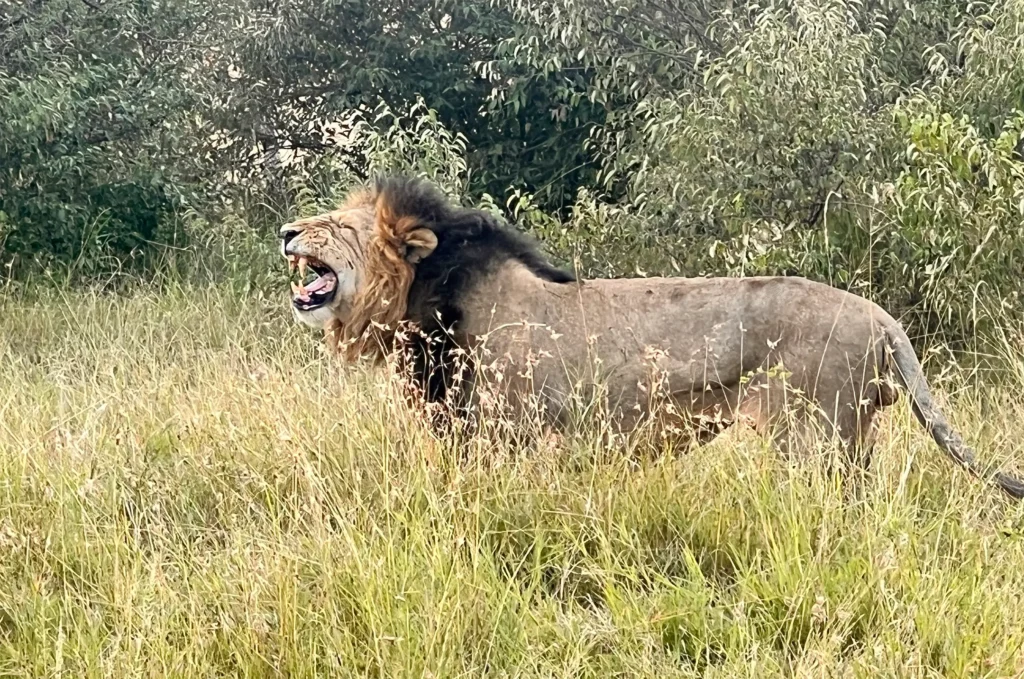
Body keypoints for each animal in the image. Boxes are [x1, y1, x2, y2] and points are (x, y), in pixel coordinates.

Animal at [279, 175, 1023, 499]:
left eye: (336, 227)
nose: (288, 231)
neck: (425, 299)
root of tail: (882, 316)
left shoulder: (505, 435)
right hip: (852, 440)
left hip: (814, 436)